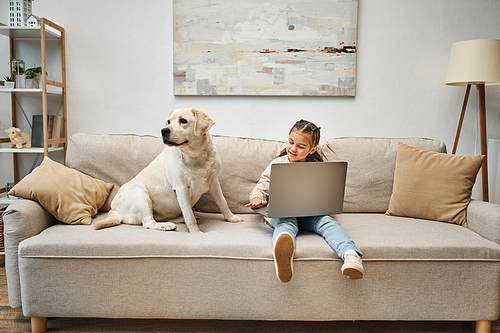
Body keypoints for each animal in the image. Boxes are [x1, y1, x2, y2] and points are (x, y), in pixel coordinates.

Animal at [94, 107, 244, 232]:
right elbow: (189, 215)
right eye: (168, 121)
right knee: (148, 222)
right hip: (140, 193)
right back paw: (166, 225)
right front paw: (196, 232)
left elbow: (222, 202)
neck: (196, 156)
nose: (164, 130)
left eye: (183, 120)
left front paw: (232, 218)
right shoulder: (181, 188)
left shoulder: (214, 182)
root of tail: (114, 211)